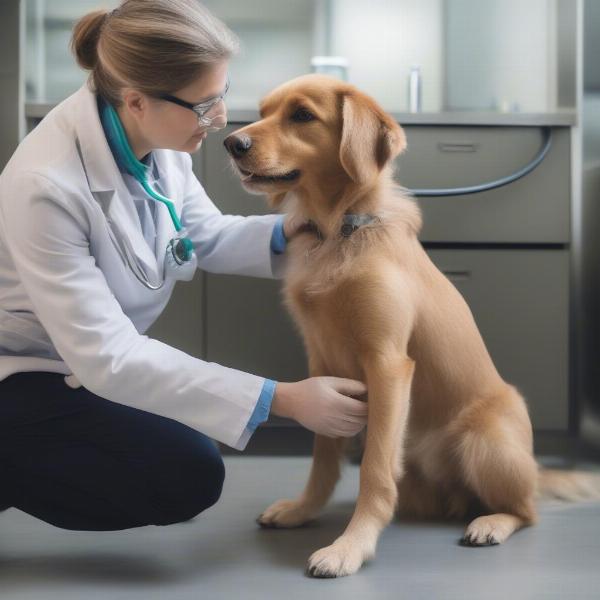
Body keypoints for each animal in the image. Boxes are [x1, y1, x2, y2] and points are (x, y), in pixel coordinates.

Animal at [224, 74, 600, 576]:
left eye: (301, 115)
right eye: (263, 111)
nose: (231, 142)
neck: (340, 230)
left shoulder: (388, 363)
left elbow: (375, 471)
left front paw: (350, 546)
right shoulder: (321, 364)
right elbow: (323, 458)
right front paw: (303, 510)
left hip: (485, 442)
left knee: (526, 510)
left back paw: (491, 523)